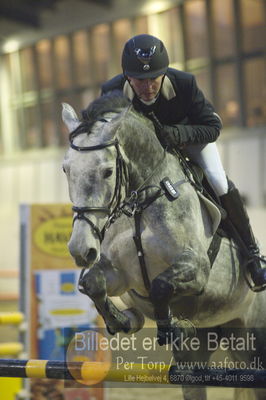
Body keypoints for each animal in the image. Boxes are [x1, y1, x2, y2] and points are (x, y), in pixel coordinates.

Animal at [61, 93, 266, 400]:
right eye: (66, 169)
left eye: (108, 171)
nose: (80, 250)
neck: (138, 203)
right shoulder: (121, 276)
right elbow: (93, 283)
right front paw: (123, 320)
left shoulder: (197, 268)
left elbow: (160, 285)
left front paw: (174, 328)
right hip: (206, 348)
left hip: (255, 339)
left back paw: (257, 268)